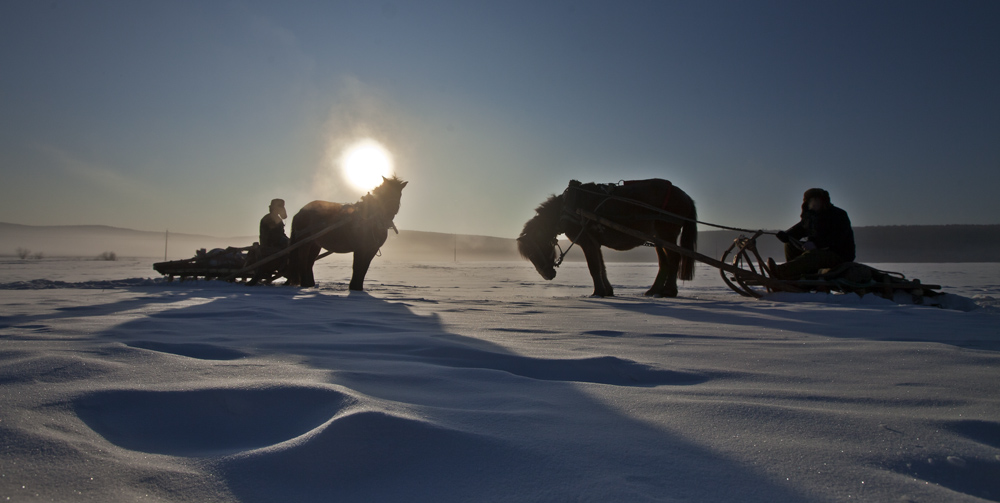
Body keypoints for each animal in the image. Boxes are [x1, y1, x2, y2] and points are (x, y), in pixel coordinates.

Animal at [520, 180, 700, 300]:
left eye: (533, 252)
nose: (547, 275)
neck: (567, 208)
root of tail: (685, 196)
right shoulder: (595, 242)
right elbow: (602, 267)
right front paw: (607, 291)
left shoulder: (586, 241)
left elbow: (593, 267)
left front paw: (597, 293)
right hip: (658, 238)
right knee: (664, 262)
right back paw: (654, 291)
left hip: (667, 233)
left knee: (674, 258)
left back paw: (669, 291)